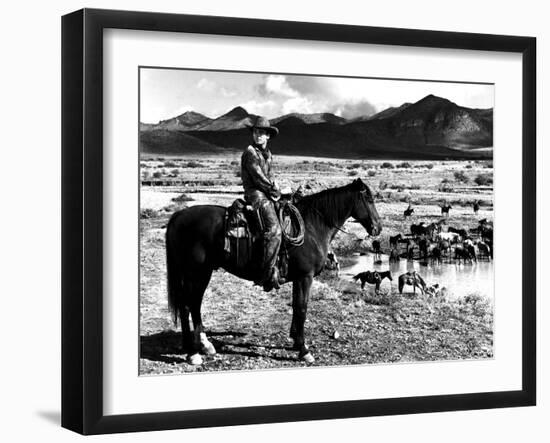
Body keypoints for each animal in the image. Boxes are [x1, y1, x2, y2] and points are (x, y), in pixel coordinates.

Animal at [166, 179, 382, 366]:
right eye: (369, 199)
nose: (378, 228)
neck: (312, 227)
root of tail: (179, 216)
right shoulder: (305, 277)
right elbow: (302, 308)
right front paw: (304, 350)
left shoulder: (299, 278)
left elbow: (296, 306)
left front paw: (295, 340)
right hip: (195, 272)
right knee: (187, 306)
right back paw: (192, 353)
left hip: (202, 272)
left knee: (193, 304)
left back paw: (204, 345)